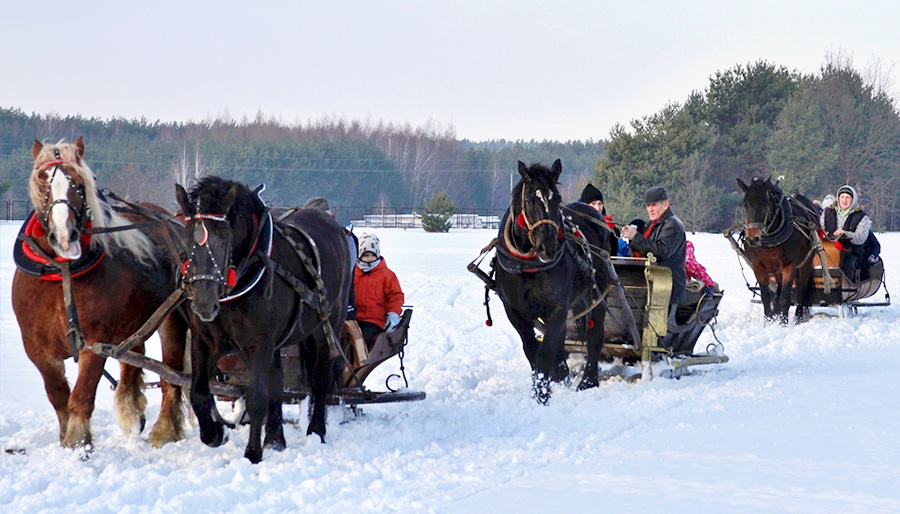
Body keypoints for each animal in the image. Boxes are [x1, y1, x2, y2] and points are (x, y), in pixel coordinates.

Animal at [11, 138, 186, 446]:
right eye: (43, 179)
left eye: (79, 183)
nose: (64, 236)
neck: (62, 270)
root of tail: (170, 219)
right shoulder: (37, 349)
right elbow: (58, 396)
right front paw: (67, 440)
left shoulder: (94, 343)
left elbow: (81, 397)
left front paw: (78, 444)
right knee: (133, 365)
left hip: (172, 319)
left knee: (171, 377)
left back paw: (164, 431)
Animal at [176, 176, 352, 460]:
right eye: (185, 240)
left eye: (223, 240)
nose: (203, 303)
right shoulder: (204, 340)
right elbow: (199, 393)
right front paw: (215, 433)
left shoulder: (259, 345)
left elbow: (257, 398)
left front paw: (252, 453)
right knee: (278, 381)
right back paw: (275, 439)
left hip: (328, 327)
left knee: (320, 380)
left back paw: (316, 431)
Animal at [492, 162, 612, 402]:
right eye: (530, 200)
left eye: (556, 198)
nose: (548, 247)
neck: (528, 266)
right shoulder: (514, 310)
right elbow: (532, 350)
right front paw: (545, 386)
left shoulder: (557, 307)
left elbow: (545, 352)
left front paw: (543, 396)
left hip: (598, 294)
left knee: (595, 336)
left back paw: (588, 382)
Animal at [740, 175, 824, 320]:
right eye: (745, 204)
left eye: (764, 204)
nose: (753, 238)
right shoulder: (758, 267)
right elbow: (766, 297)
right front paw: (768, 320)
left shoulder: (789, 266)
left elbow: (786, 297)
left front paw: (783, 322)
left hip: (806, 261)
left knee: (801, 289)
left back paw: (798, 317)